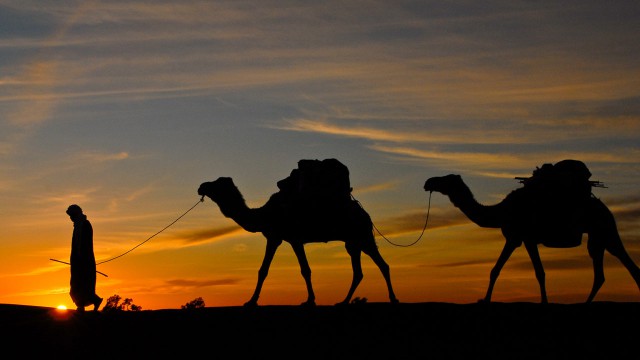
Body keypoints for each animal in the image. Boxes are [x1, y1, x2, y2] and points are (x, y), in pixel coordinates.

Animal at [196, 176, 396, 306]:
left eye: (216, 184)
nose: (201, 186)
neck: (264, 215)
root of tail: (365, 214)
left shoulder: (288, 238)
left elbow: (300, 270)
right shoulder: (280, 238)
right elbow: (269, 270)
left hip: (362, 236)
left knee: (382, 265)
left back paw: (393, 298)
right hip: (352, 241)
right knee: (359, 271)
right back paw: (344, 301)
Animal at [424, 159, 640, 302]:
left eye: (446, 179)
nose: (428, 182)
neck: (502, 211)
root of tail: (606, 209)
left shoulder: (525, 237)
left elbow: (539, 272)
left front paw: (544, 302)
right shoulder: (514, 238)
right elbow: (495, 270)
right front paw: (484, 300)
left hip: (605, 228)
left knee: (626, 265)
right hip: (598, 235)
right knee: (603, 272)